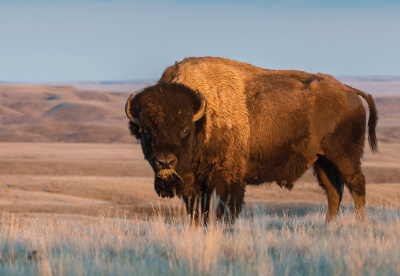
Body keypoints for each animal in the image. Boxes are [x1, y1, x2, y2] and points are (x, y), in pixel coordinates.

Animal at [126, 56, 378, 222]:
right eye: (146, 132)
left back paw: (358, 224)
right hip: (322, 160)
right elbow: (199, 212)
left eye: (185, 129)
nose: (165, 162)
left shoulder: (226, 180)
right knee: (334, 191)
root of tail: (351, 91)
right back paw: (329, 226)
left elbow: (224, 210)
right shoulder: (195, 185)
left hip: (345, 157)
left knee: (357, 185)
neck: (204, 117)